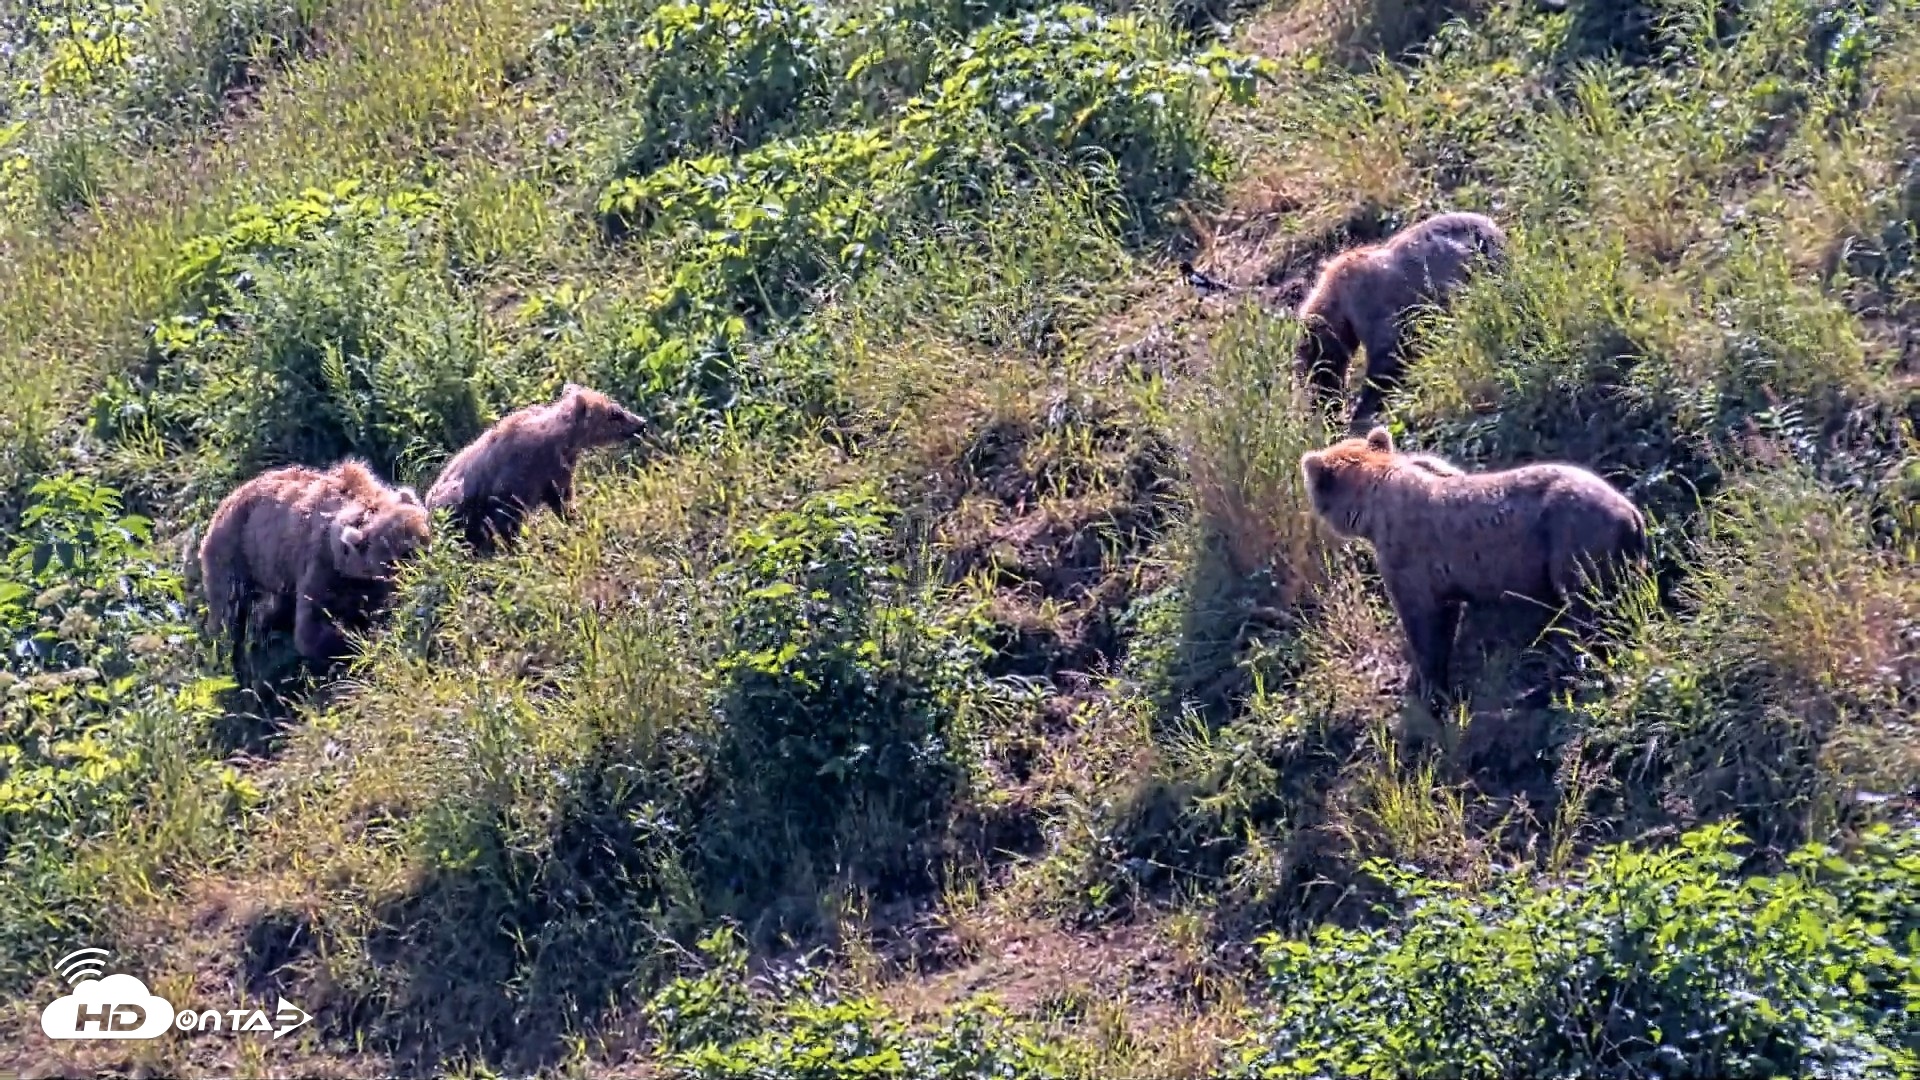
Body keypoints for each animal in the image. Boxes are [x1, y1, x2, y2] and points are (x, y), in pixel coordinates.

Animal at [197, 459, 430, 683]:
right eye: (398, 556)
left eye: (425, 539)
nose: (420, 573)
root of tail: (222, 504)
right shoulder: (320, 565)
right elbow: (313, 625)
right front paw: (353, 644)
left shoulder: (363, 582)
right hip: (234, 552)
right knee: (229, 612)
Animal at [425, 382, 648, 555]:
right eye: (615, 413)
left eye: (616, 406)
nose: (642, 423)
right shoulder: (514, 479)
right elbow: (507, 517)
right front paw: (518, 547)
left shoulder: (554, 473)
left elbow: (562, 500)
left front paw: (575, 520)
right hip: (456, 498)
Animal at [1293, 211, 1507, 428]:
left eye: (1313, 373)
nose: (1322, 408)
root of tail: (1493, 227)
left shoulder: (1370, 304)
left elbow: (1388, 354)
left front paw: (1364, 407)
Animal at [1299, 426, 1647, 704]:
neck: (1373, 505)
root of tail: (1630, 513)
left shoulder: (1407, 558)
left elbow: (1423, 622)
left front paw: (1428, 686)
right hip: (1621, 556)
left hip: (1571, 540)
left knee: (1587, 608)